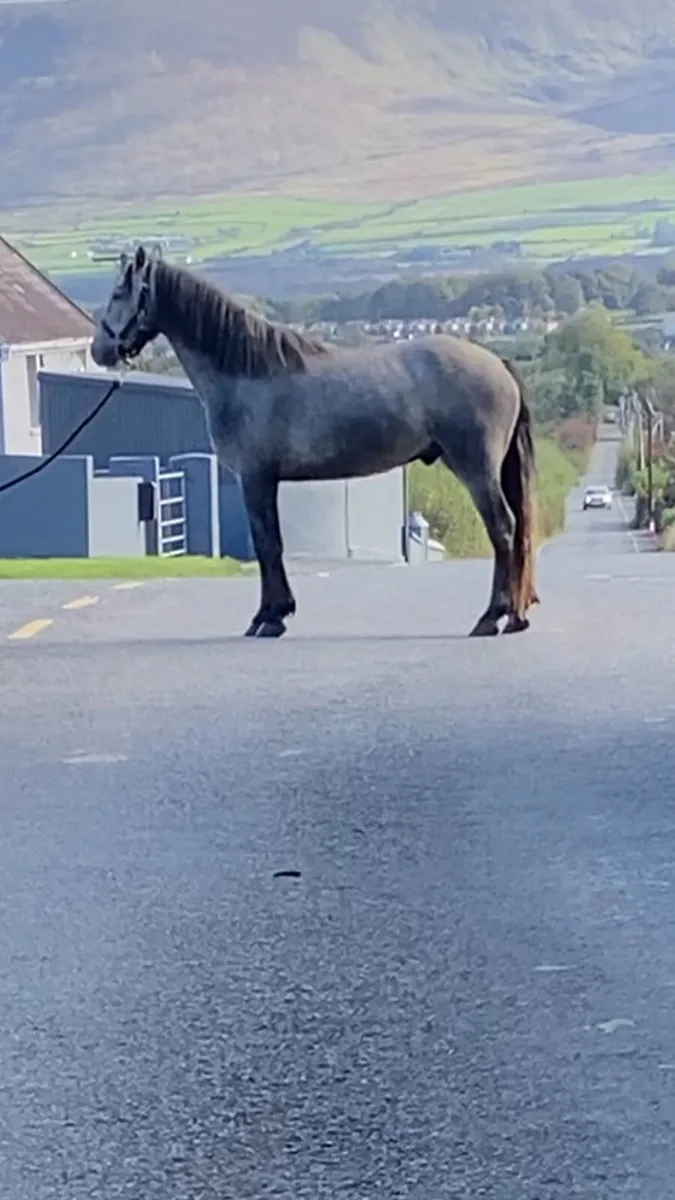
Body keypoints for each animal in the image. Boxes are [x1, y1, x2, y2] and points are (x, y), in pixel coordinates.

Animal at [91, 245, 539, 639]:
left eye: (118, 294)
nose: (100, 350)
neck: (247, 374)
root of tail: (497, 362)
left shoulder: (256, 479)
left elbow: (268, 545)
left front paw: (270, 618)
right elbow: (269, 545)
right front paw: (273, 613)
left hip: (476, 468)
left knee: (503, 529)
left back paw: (491, 617)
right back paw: (514, 617)